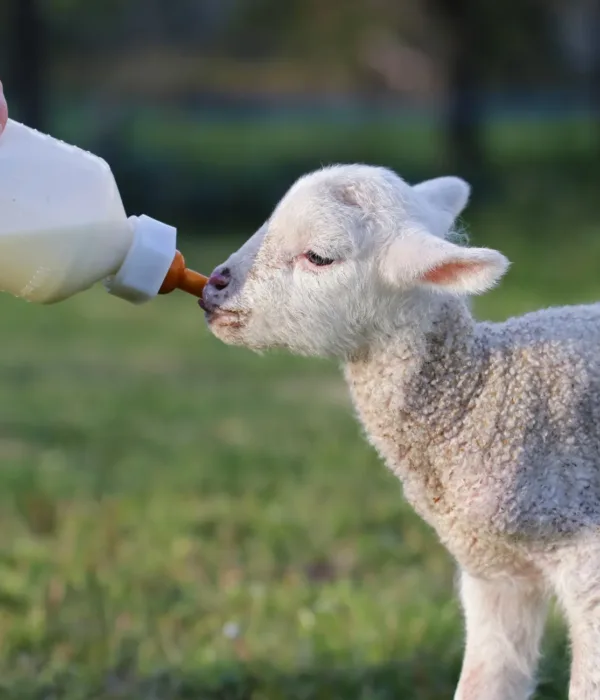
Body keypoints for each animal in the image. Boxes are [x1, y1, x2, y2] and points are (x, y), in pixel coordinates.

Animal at [199, 164, 600, 700]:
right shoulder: (494, 571)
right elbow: (485, 679)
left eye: (319, 256)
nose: (214, 285)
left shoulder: (585, 554)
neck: (483, 397)